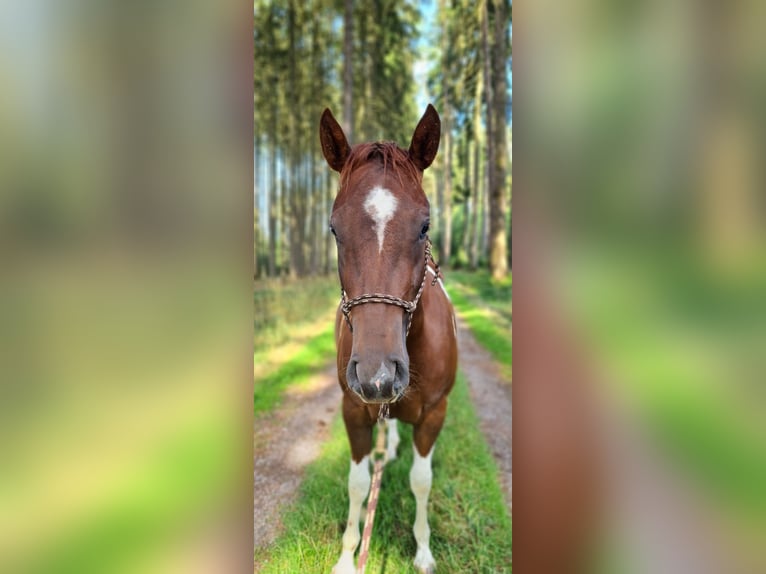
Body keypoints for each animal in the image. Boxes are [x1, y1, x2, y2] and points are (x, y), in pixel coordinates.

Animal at [320, 104, 460, 574]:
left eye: (425, 225)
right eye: (334, 228)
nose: (377, 374)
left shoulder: (435, 413)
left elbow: (422, 481)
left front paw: (423, 551)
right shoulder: (353, 409)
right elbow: (357, 483)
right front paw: (348, 556)